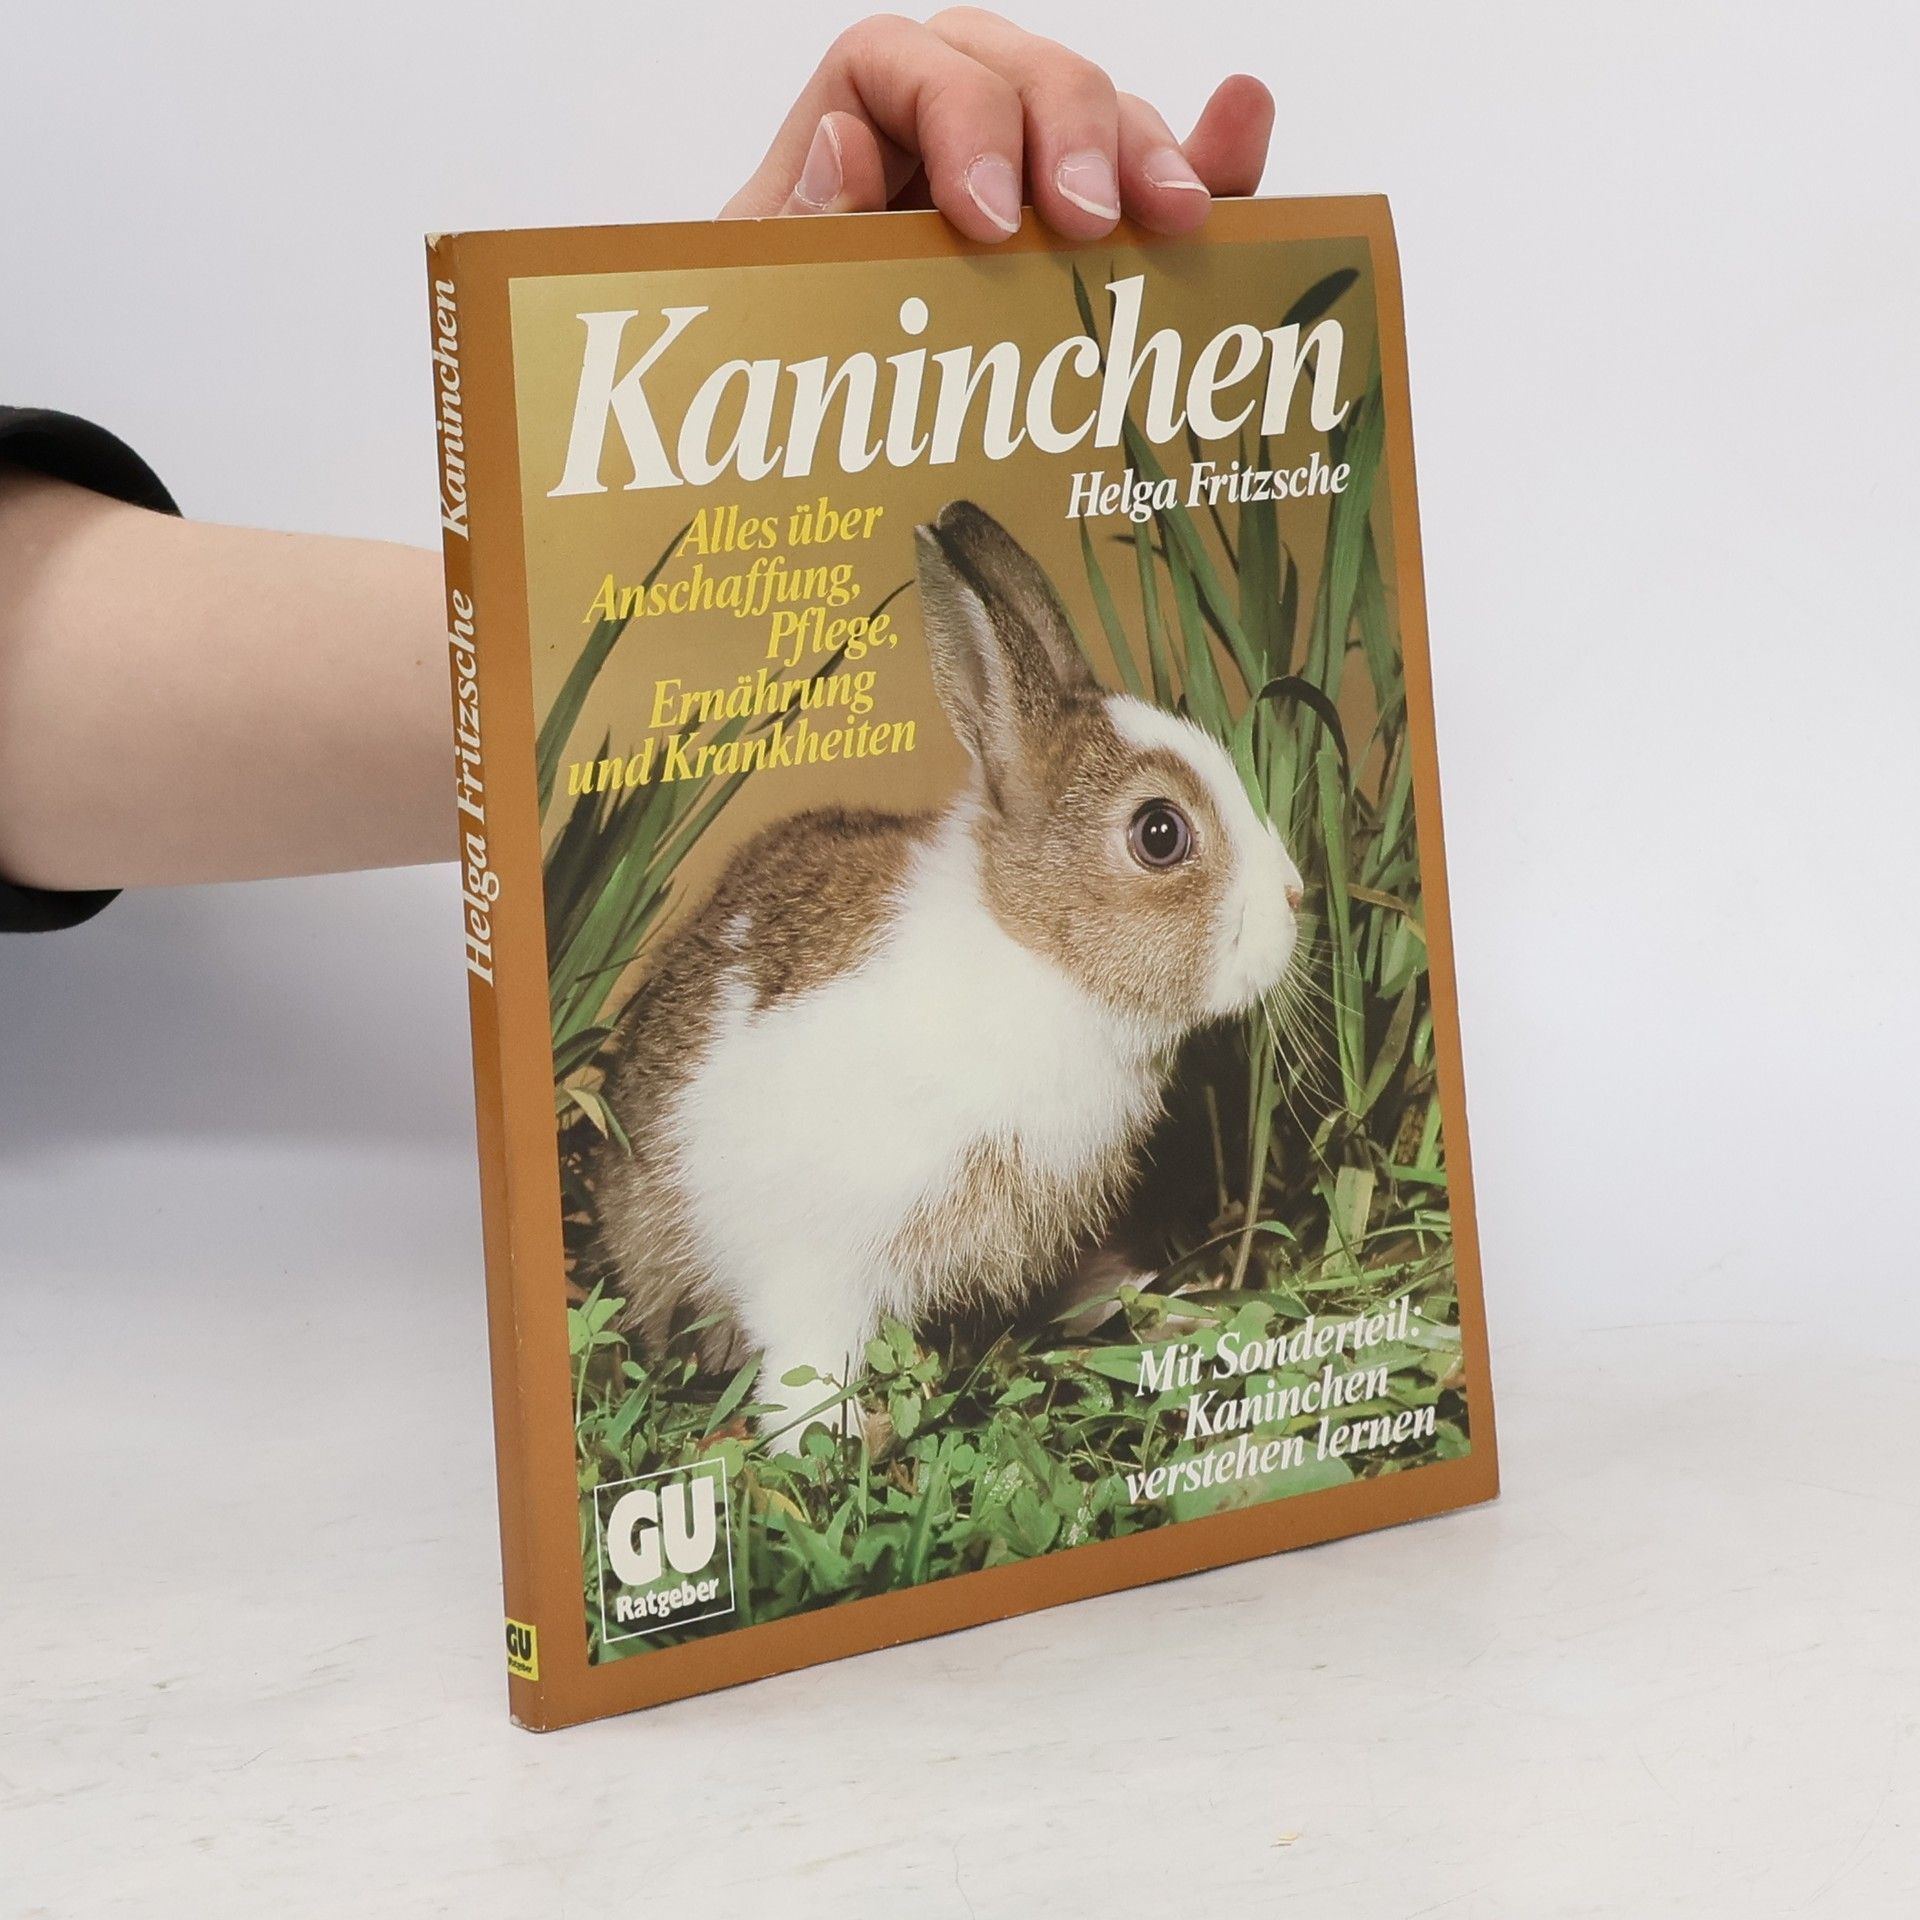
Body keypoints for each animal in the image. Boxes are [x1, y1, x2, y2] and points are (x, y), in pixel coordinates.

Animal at [592, 500, 1304, 1450]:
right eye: (1160, 833)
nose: (1296, 899)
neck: (1035, 956)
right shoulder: (818, 1256)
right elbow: (806, 1357)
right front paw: (832, 1438)